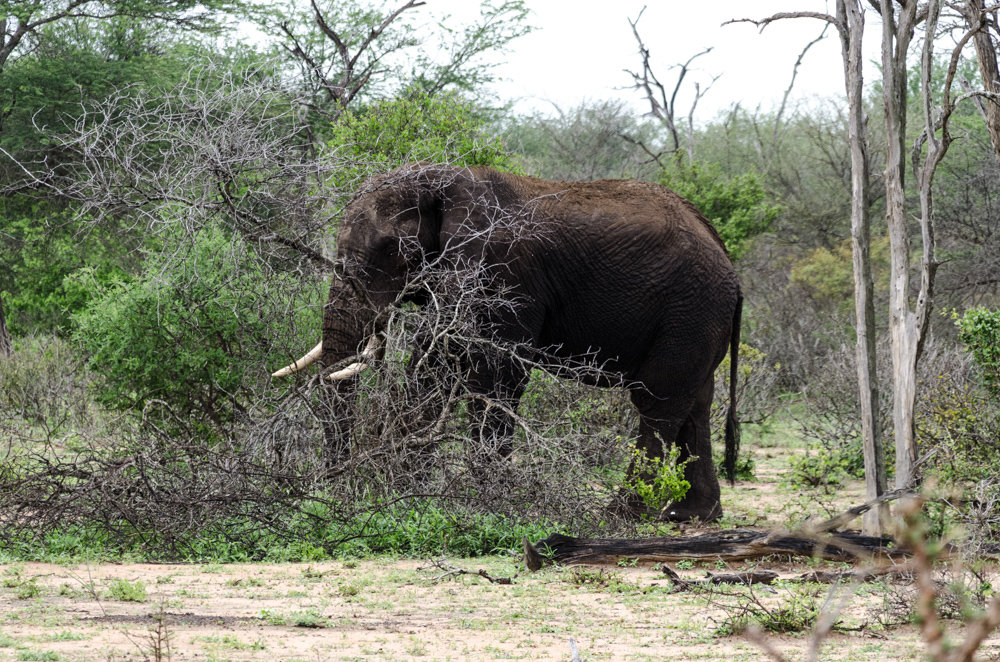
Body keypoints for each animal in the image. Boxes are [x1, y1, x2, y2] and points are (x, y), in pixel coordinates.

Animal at [274, 162, 744, 524]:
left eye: (391, 250)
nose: (336, 487)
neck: (442, 180)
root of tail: (729, 263)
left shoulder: (501, 270)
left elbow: (494, 375)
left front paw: (486, 502)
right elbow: (435, 365)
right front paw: (401, 487)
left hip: (691, 311)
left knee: (657, 403)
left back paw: (620, 515)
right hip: (699, 319)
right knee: (696, 404)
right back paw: (691, 516)